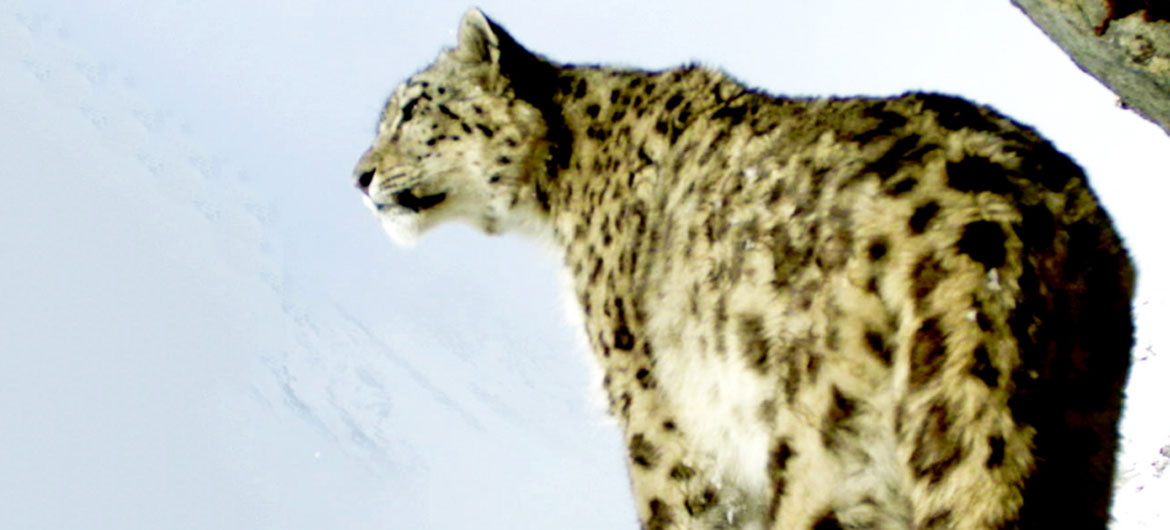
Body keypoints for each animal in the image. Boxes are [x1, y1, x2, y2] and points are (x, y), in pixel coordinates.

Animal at [352, 8, 1135, 529]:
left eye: (412, 110)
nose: (359, 176)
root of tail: (996, 216)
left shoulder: (653, 413)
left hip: (829, 452)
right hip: (1081, 433)